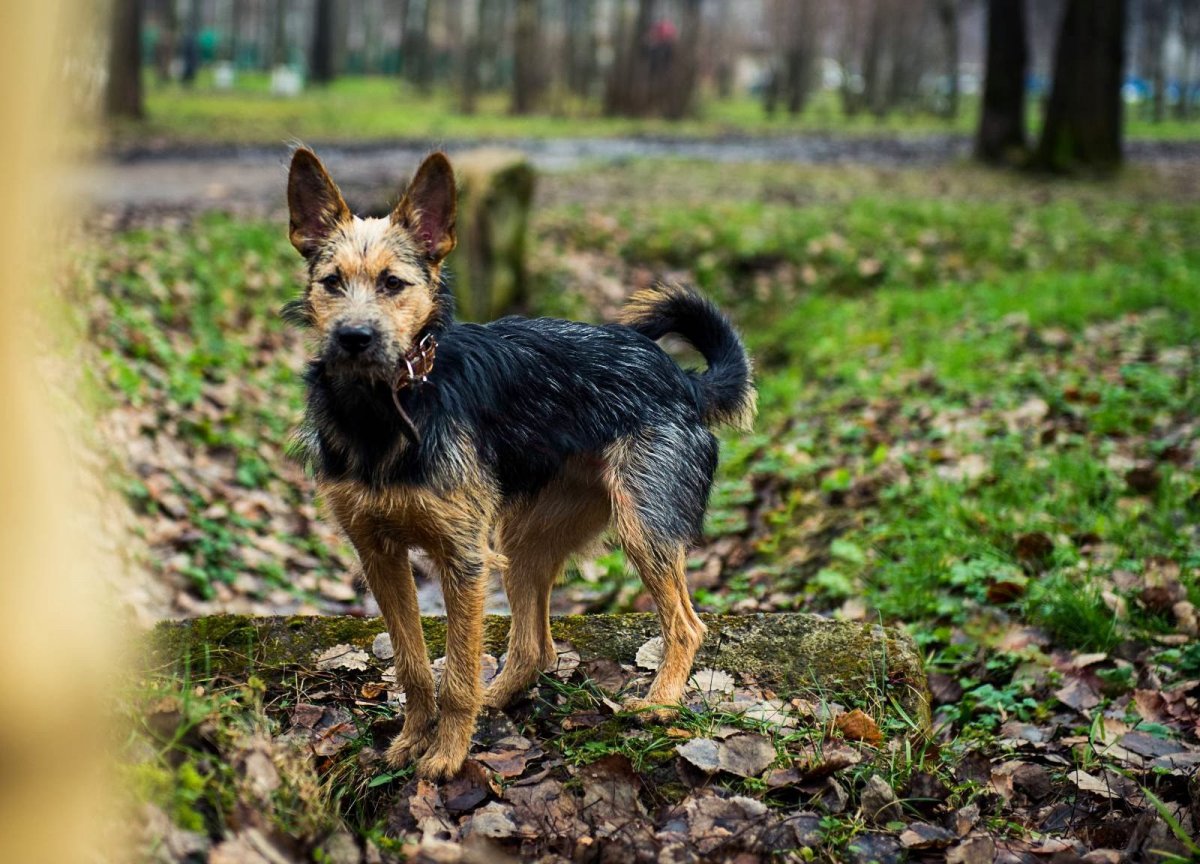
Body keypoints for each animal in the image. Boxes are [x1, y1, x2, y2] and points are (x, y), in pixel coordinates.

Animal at [283, 150, 748, 782]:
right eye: (331, 283)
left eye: (393, 284)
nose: (353, 337)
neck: (387, 410)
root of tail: (685, 381)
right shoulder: (379, 555)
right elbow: (413, 664)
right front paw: (411, 740)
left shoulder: (464, 559)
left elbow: (456, 674)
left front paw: (447, 755)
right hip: (525, 538)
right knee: (534, 649)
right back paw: (499, 696)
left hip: (643, 523)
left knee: (686, 624)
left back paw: (659, 703)